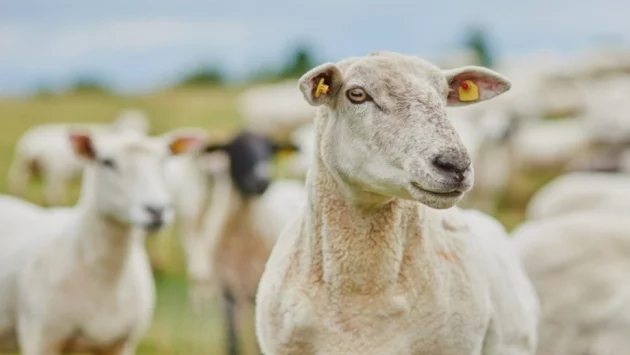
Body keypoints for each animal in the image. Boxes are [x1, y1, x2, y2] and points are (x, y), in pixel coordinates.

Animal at [7, 110, 152, 207]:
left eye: (143, 125)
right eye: (123, 124)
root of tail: (29, 142)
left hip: (26, 167)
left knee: (18, 183)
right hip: (54, 173)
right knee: (51, 194)